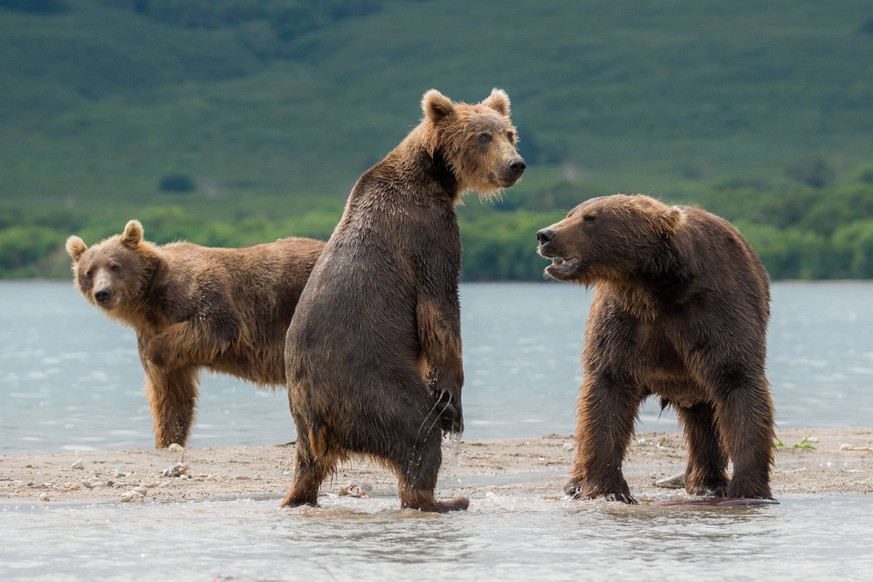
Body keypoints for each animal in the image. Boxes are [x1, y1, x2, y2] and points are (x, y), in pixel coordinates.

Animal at [65, 220, 324, 448]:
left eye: (114, 265)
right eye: (89, 272)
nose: (103, 292)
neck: (150, 305)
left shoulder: (195, 296)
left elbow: (217, 323)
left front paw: (154, 350)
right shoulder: (153, 335)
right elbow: (171, 396)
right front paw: (166, 440)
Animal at [281, 88, 526, 512]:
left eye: (509, 133)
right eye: (482, 136)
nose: (516, 164)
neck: (434, 177)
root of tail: (320, 417)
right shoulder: (428, 233)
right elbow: (439, 311)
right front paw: (452, 400)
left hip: (306, 416)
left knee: (308, 466)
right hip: (372, 385)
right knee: (417, 433)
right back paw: (443, 499)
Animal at [536, 194, 775, 503]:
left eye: (591, 218)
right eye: (571, 214)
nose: (545, 235)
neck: (652, 287)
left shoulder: (714, 313)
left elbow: (738, 385)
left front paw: (748, 490)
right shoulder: (622, 324)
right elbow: (605, 394)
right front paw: (606, 490)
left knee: (705, 419)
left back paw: (707, 483)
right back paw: (575, 484)